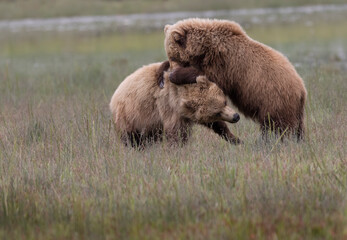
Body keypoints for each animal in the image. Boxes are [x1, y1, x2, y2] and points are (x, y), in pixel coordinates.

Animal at [165, 18, 308, 141]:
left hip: (274, 99)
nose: (169, 68)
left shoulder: (223, 63)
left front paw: (175, 76)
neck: (203, 48)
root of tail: (302, 90)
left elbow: (204, 74)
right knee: (295, 127)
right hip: (292, 109)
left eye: (172, 56)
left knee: (277, 125)